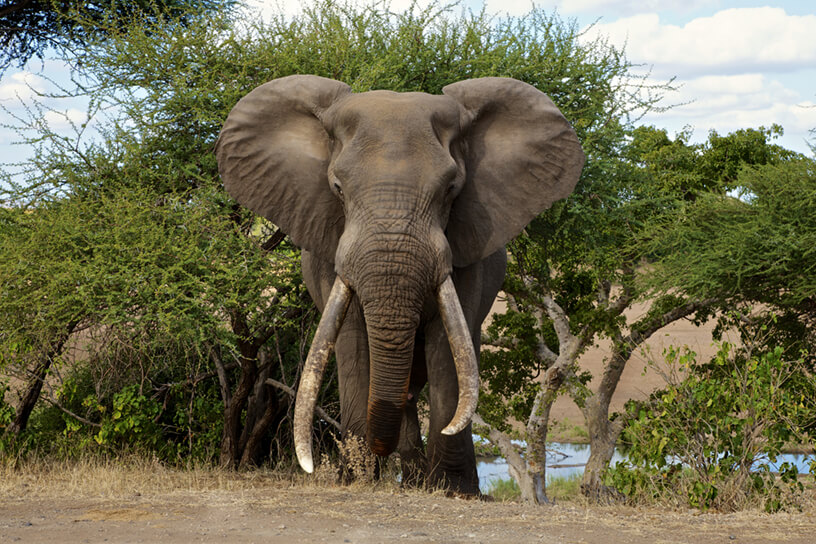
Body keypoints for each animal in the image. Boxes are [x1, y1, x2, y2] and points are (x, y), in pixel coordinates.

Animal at [214, 74, 584, 496]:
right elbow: (353, 341)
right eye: (338, 188)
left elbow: (447, 349)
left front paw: (454, 491)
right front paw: (356, 479)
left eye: (451, 189)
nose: (374, 457)